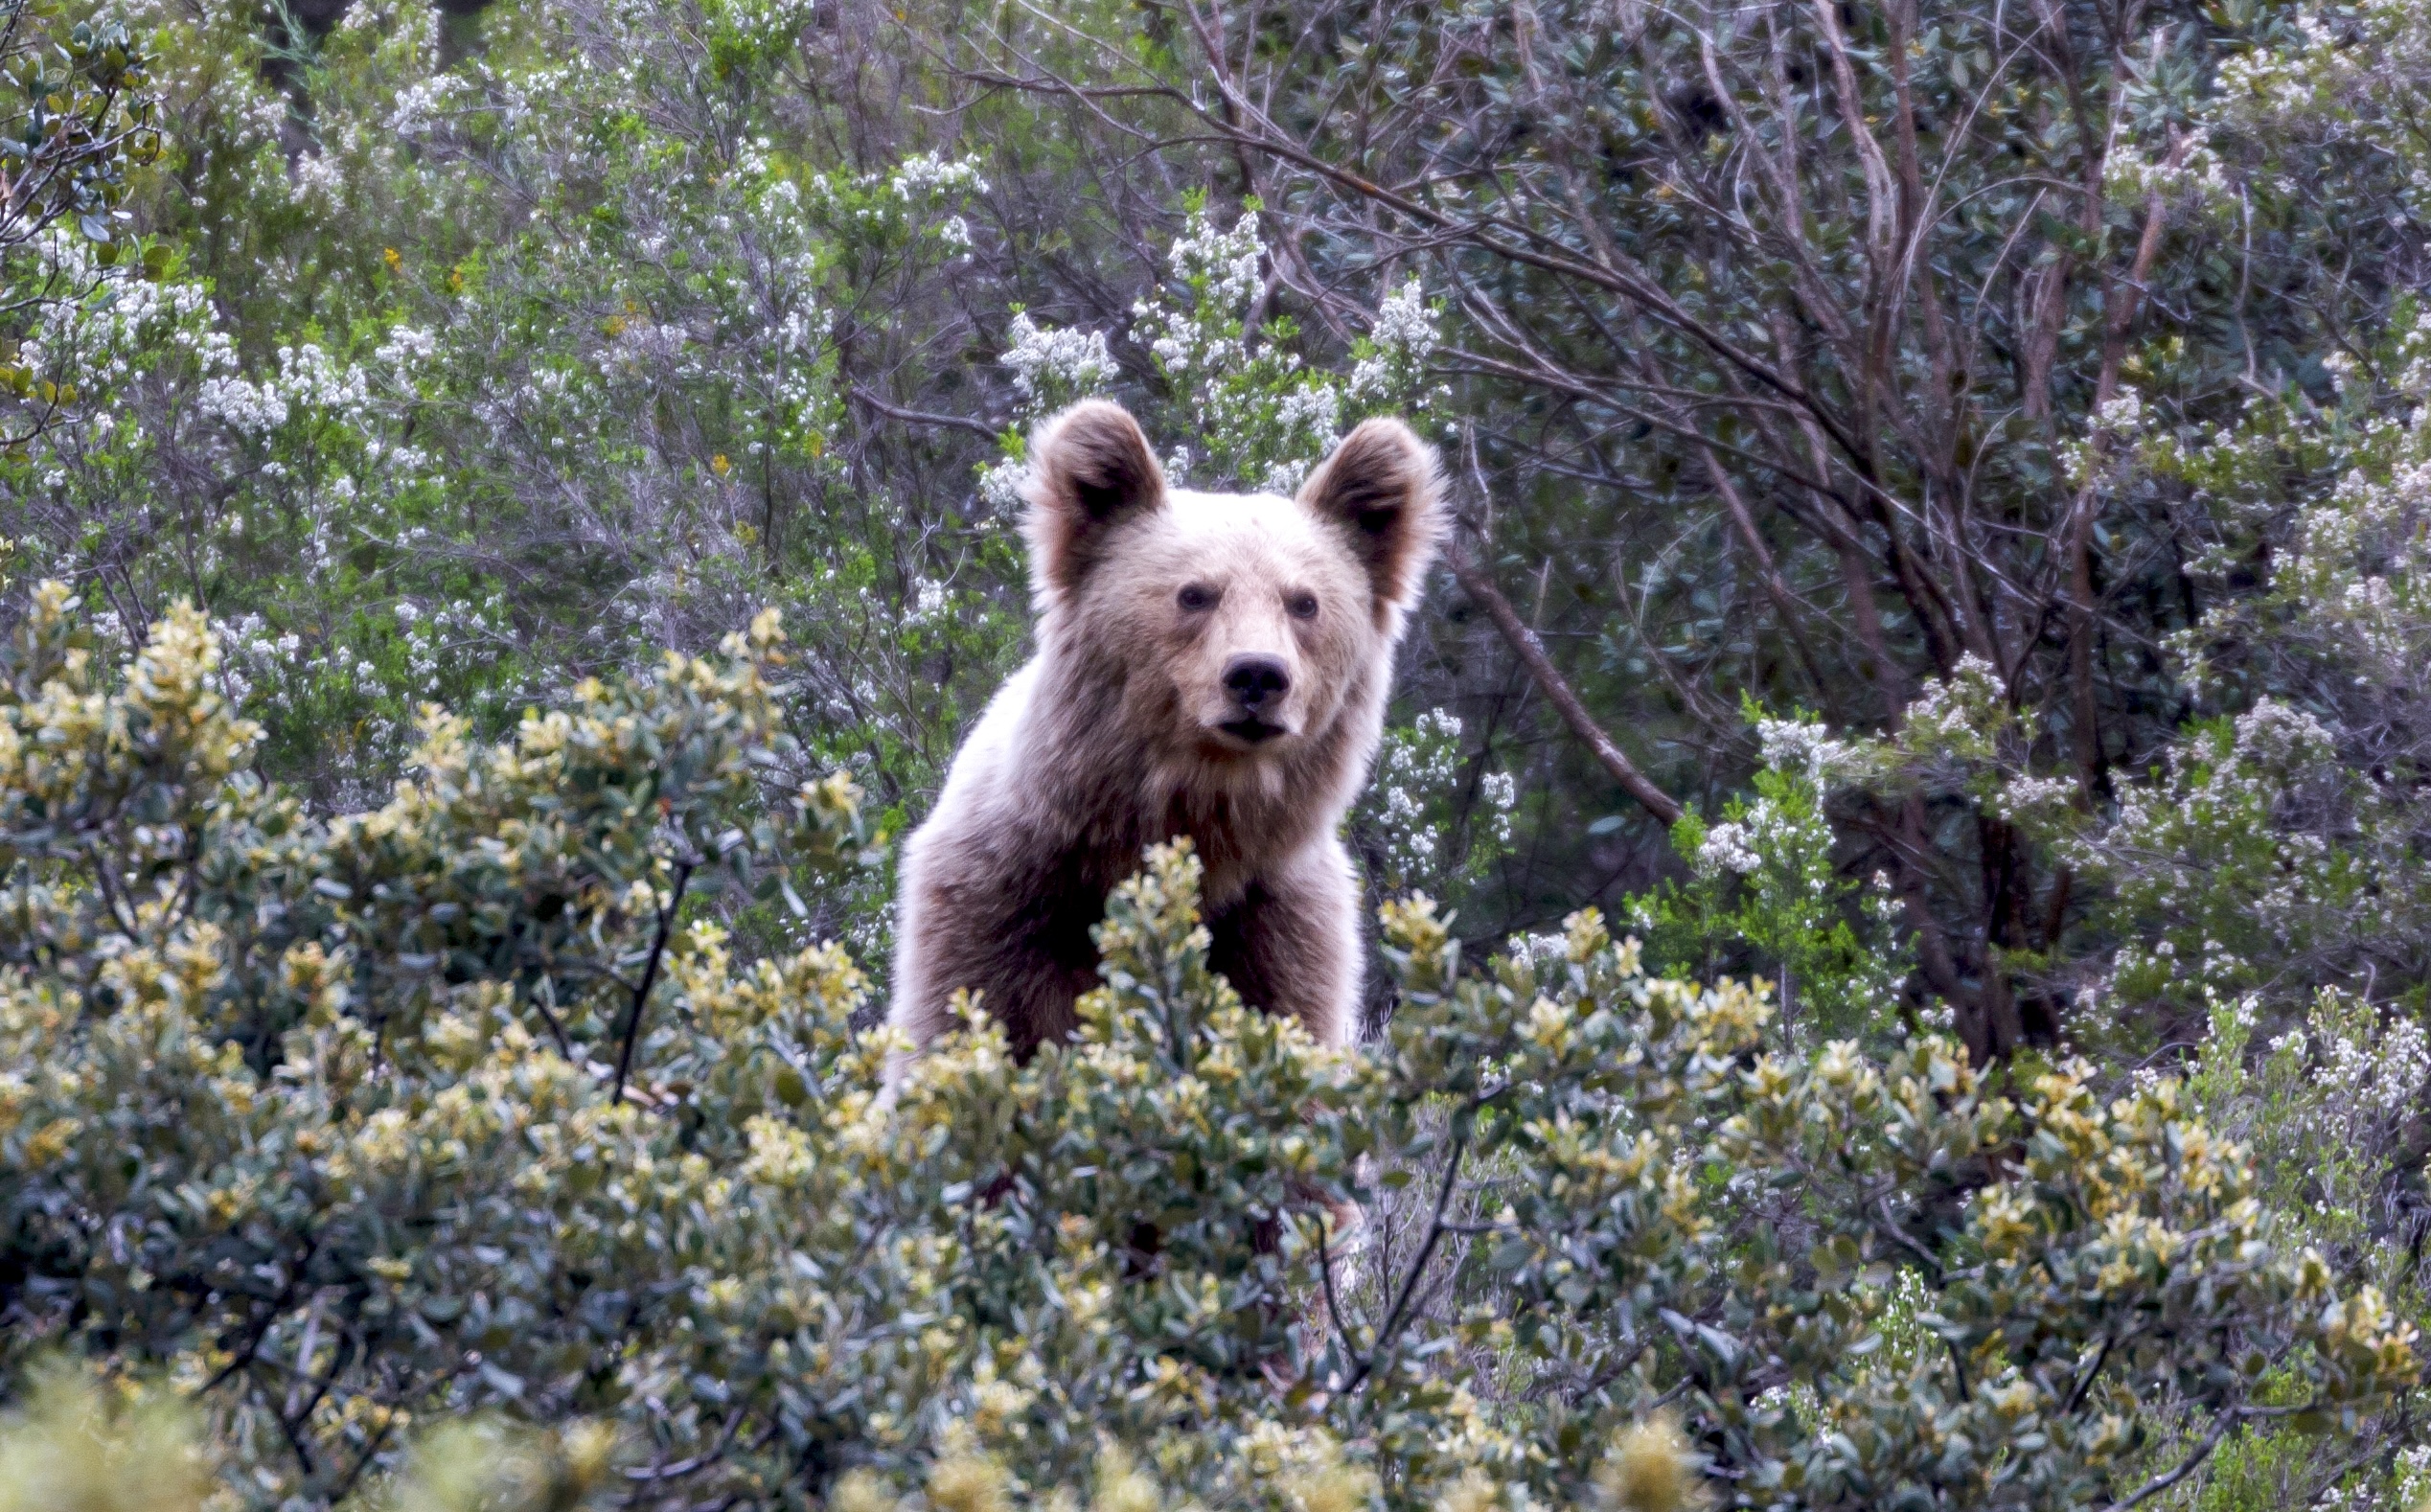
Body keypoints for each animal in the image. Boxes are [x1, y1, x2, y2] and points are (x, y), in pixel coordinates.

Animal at [884, 393, 1429, 1079]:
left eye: (1304, 602)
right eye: (1194, 593)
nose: (1257, 676)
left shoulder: (1276, 928)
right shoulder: (998, 904)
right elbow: (961, 1030)